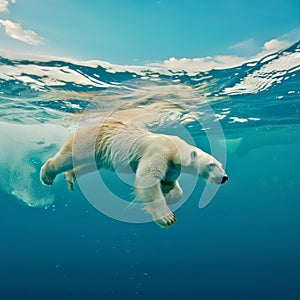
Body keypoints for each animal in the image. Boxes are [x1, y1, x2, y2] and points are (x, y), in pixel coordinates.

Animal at [39, 118, 227, 226]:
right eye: (212, 165)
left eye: (221, 165)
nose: (224, 177)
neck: (175, 148)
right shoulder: (158, 151)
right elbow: (148, 178)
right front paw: (167, 217)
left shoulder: (172, 167)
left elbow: (170, 184)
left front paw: (167, 192)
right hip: (93, 140)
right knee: (71, 157)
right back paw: (47, 174)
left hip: (100, 153)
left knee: (88, 166)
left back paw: (70, 177)